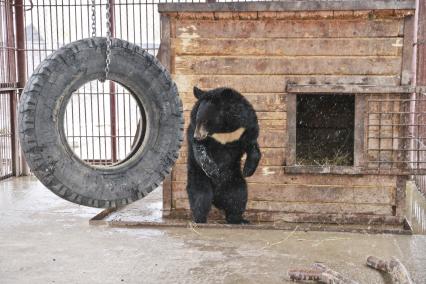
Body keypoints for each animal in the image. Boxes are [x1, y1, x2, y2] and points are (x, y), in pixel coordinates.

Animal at [186, 86, 262, 224]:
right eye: (197, 120)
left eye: (206, 121)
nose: (197, 136)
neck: (222, 129)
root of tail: (217, 197)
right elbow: (200, 150)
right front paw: (214, 172)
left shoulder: (245, 127)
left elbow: (252, 146)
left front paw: (247, 171)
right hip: (198, 175)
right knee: (200, 196)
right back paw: (200, 219)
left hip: (234, 179)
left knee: (238, 196)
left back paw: (238, 219)